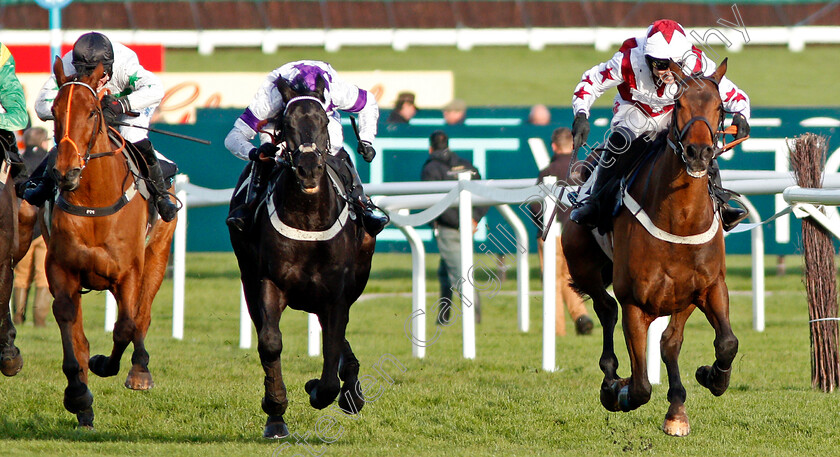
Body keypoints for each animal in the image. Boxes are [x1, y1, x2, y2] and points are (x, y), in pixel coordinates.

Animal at [47, 58, 176, 428]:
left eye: (92, 112)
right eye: (53, 110)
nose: (66, 173)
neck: (95, 200)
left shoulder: (128, 272)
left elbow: (126, 326)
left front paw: (110, 365)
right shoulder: (61, 268)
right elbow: (71, 329)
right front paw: (78, 396)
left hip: (158, 253)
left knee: (142, 316)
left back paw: (139, 370)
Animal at [228, 73, 376, 436]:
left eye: (323, 121)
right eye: (286, 124)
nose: (309, 168)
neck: (308, 219)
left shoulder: (336, 293)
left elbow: (332, 349)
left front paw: (322, 389)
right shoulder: (268, 281)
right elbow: (270, 342)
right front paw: (275, 410)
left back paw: (351, 389)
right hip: (250, 279)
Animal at [560, 60, 740, 434]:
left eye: (720, 107)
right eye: (679, 104)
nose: (698, 153)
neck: (679, 220)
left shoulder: (706, 287)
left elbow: (723, 342)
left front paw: (710, 379)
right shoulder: (635, 302)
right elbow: (641, 385)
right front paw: (620, 391)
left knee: (663, 340)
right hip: (584, 267)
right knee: (606, 309)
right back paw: (611, 378)